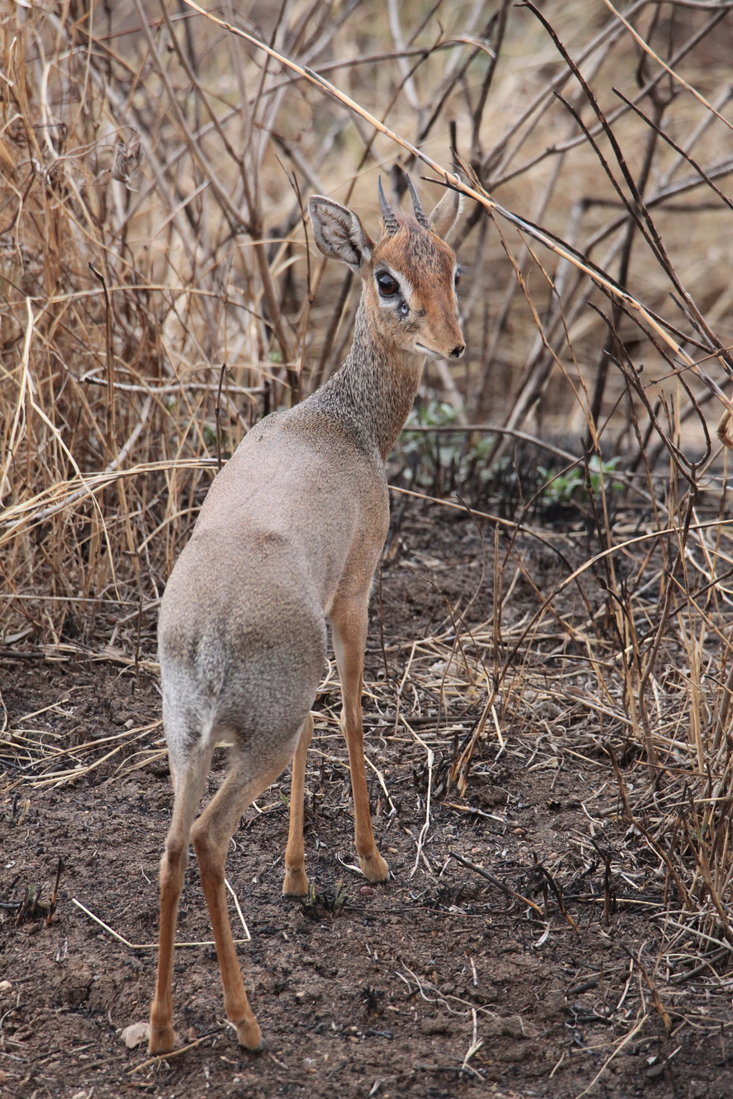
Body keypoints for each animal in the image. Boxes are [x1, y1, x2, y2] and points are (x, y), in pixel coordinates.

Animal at [149, 175, 463, 1050]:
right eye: (386, 278)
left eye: (451, 263)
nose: (452, 345)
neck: (340, 422)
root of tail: (208, 634)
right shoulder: (354, 592)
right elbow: (350, 714)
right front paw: (371, 857)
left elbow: (321, 728)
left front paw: (294, 875)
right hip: (251, 736)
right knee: (210, 836)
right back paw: (244, 1020)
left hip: (188, 736)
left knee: (171, 846)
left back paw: (162, 1029)